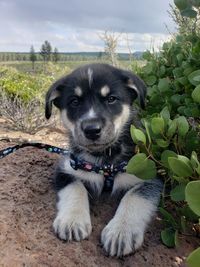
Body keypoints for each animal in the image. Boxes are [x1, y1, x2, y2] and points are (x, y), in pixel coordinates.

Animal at [45, 63, 162, 258]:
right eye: (74, 102)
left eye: (111, 99)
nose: (92, 130)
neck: (105, 159)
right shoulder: (66, 169)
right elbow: (75, 188)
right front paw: (72, 220)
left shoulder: (152, 178)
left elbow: (134, 196)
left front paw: (121, 232)